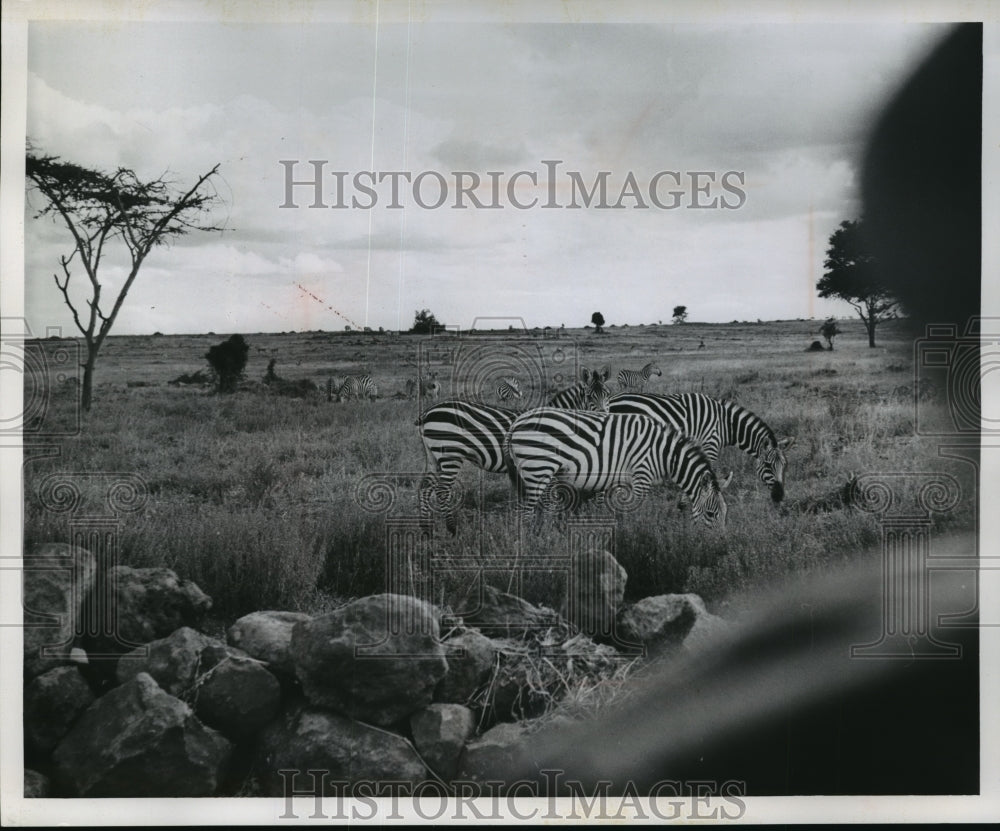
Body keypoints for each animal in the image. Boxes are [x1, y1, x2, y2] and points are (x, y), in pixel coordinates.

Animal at [508, 408, 728, 528]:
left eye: (726, 514)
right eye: (711, 514)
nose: (718, 544)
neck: (663, 453)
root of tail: (517, 422)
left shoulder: (625, 480)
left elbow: (620, 510)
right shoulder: (642, 474)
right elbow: (636, 510)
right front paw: (638, 533)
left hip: (542, 473)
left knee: (538, 508)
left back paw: (549, 534)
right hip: (538, 469)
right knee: (524, 513)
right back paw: (532, 543)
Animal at [604, 394, 792, 504]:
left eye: (785, 466)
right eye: (767, 465)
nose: (779, 497)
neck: (726, 424)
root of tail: (609, 400)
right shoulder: (711, 443)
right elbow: (707, 471)